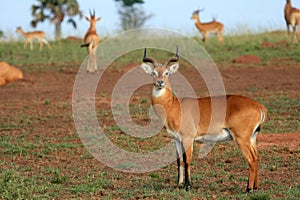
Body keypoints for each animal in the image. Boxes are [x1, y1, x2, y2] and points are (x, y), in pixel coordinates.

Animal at [141, 48, 268, 192]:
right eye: (153, 73)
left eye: (167, 73)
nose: (160, 82)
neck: (173, 106)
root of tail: (259, 106)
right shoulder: (177, 139)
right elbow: (179, 160)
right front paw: (179, 184)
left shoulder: (188, 138)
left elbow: (187, 159)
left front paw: (187, 185)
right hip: (252, 138)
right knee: (256, 157)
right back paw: (255, 187)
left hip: (242, 138)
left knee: (251, 159)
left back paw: (248, 189)